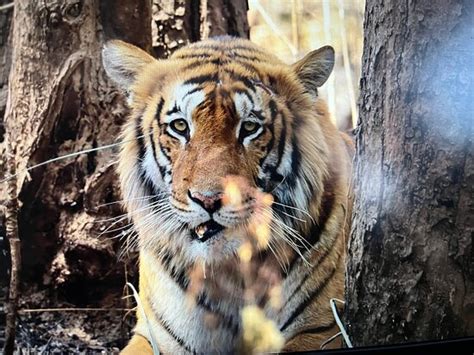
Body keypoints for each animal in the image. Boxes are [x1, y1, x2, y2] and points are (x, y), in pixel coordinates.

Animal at [102, 35, 352, 354]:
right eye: (180, 126)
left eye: (250, 127)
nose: (208, 200)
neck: (229, 272)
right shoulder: (155, 335)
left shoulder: (322, 329)